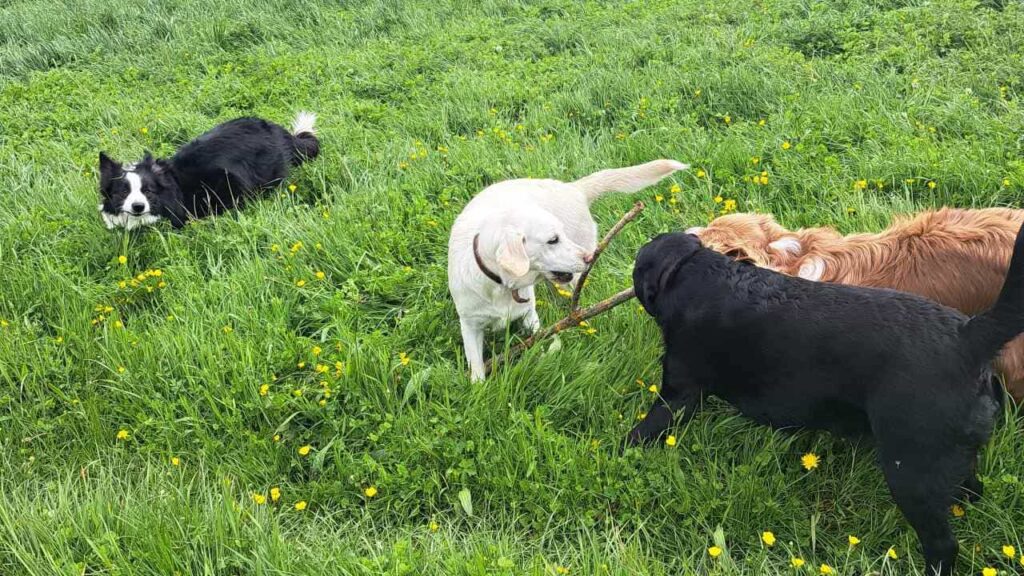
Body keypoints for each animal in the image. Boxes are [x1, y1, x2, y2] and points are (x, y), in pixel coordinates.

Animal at [450, 158, 688, 379]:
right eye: (553, 240)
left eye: (561, 235)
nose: (589, 257)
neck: (501, 286)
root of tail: (573, 188)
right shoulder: (469, 326)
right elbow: (476, 365)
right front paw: (478, 387)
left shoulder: (529, 314)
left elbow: (539, 337)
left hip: (575, 278)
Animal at [626, 225, 1019, 576]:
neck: (702, 274)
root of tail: (969, 338)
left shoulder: (678, 392)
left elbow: (643, 432)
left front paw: (625, 453)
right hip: (951, 458)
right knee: (970, 491)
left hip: (910, 469)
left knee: (943, 544)